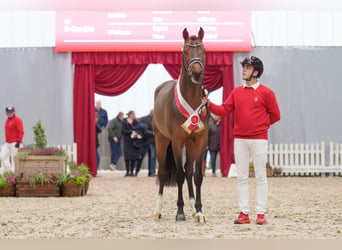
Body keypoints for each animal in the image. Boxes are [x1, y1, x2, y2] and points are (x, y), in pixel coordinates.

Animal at [153, 27, 207, 223]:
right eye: (185, 51)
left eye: (203, 50)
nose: (197, 73)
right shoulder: (176, 142)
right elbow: (178, 175)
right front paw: (180, 212)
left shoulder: (200, 140)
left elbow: (196, 175)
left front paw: (199, 211)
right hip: (161, 140)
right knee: (162, 172)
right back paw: (158, 210)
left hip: (190, 144)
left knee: (189, 171)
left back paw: (193, 209)